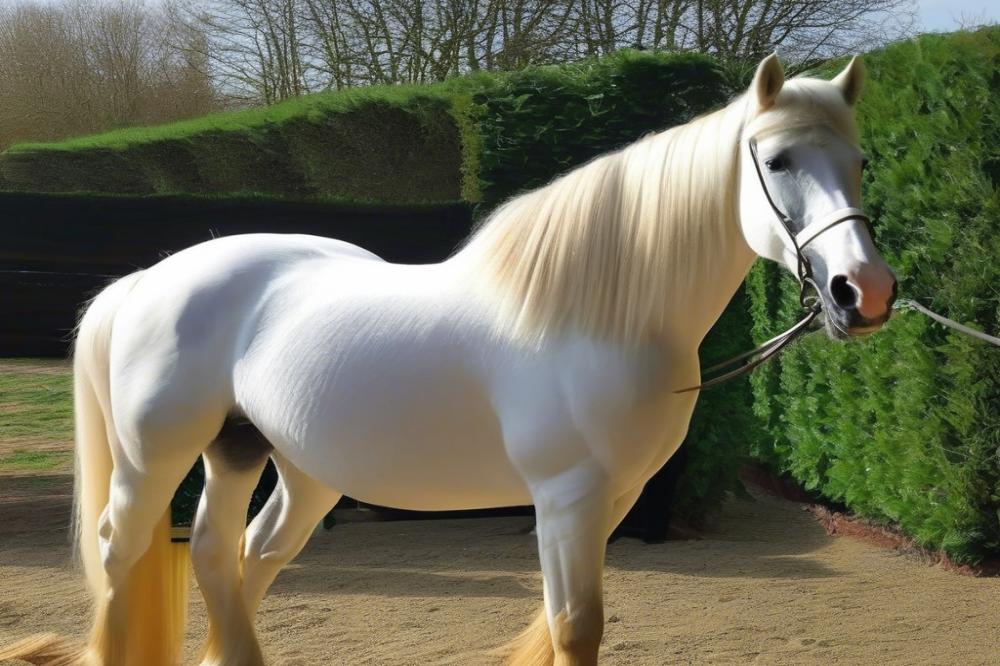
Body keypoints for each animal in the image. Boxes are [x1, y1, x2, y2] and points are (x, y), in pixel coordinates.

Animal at [3, 55, 896, 664]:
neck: (594, 314)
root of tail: (150, 278)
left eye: (859, 163)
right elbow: (575, 630)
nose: (864, 292)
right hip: (156, 457)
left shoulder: (611, 499)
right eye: (777, 161)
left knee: (229, 557)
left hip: (261, 456)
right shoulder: (566, 500)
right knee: (122, 552)